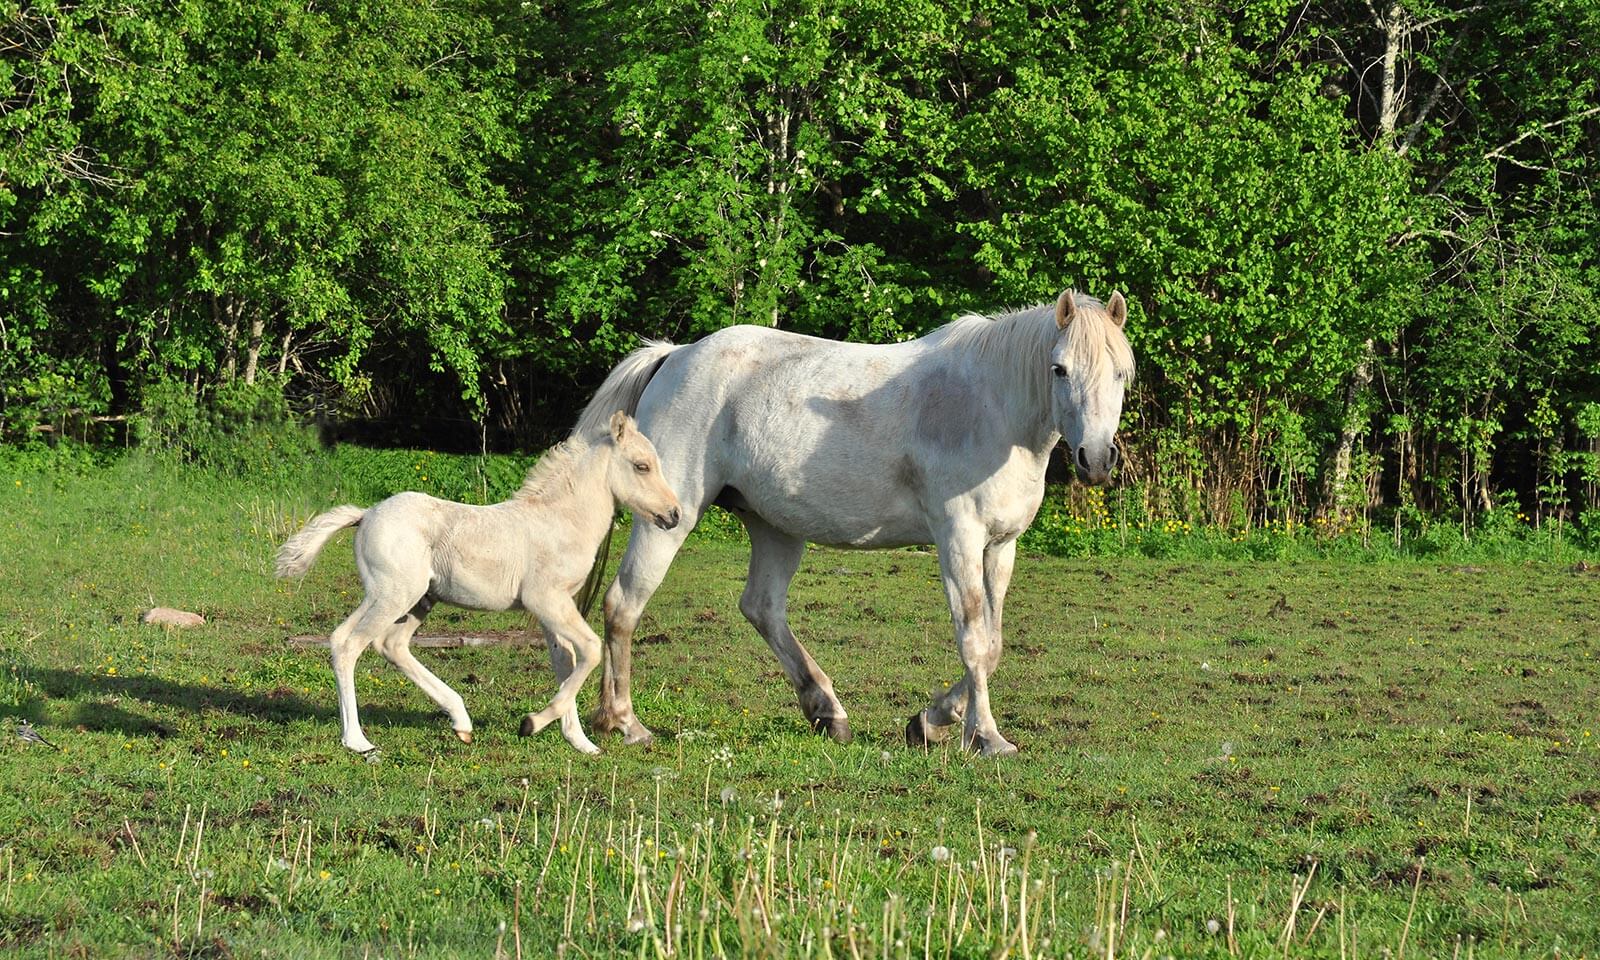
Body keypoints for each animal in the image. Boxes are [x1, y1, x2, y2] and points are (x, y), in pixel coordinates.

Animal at [275, 412, 681, 758]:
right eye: (642, 466)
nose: (674, 514)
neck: (559, 520)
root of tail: (366, 514)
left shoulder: (555, 607)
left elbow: (567, 661)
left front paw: (581, 742)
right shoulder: (545, 599)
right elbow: (592, 650)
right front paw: (531, 723)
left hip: (414, 598)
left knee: (385, 643)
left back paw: (461, 722)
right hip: (392, 595)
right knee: (349, 644)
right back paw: (357, 740)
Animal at [576, 288, 1139, 755]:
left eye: (1120, 373)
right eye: (1060, 369)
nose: (1095, 459)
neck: (992, 409)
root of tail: (674, 356)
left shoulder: (1001, 545)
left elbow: (994, 643)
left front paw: (931, 721)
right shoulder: (958, 538)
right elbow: (975, 640)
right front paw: (987, 738)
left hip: (775, 527)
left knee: (762, 607)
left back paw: (827, 711)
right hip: (669, 520)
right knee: (623, 604)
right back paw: (624, 723)